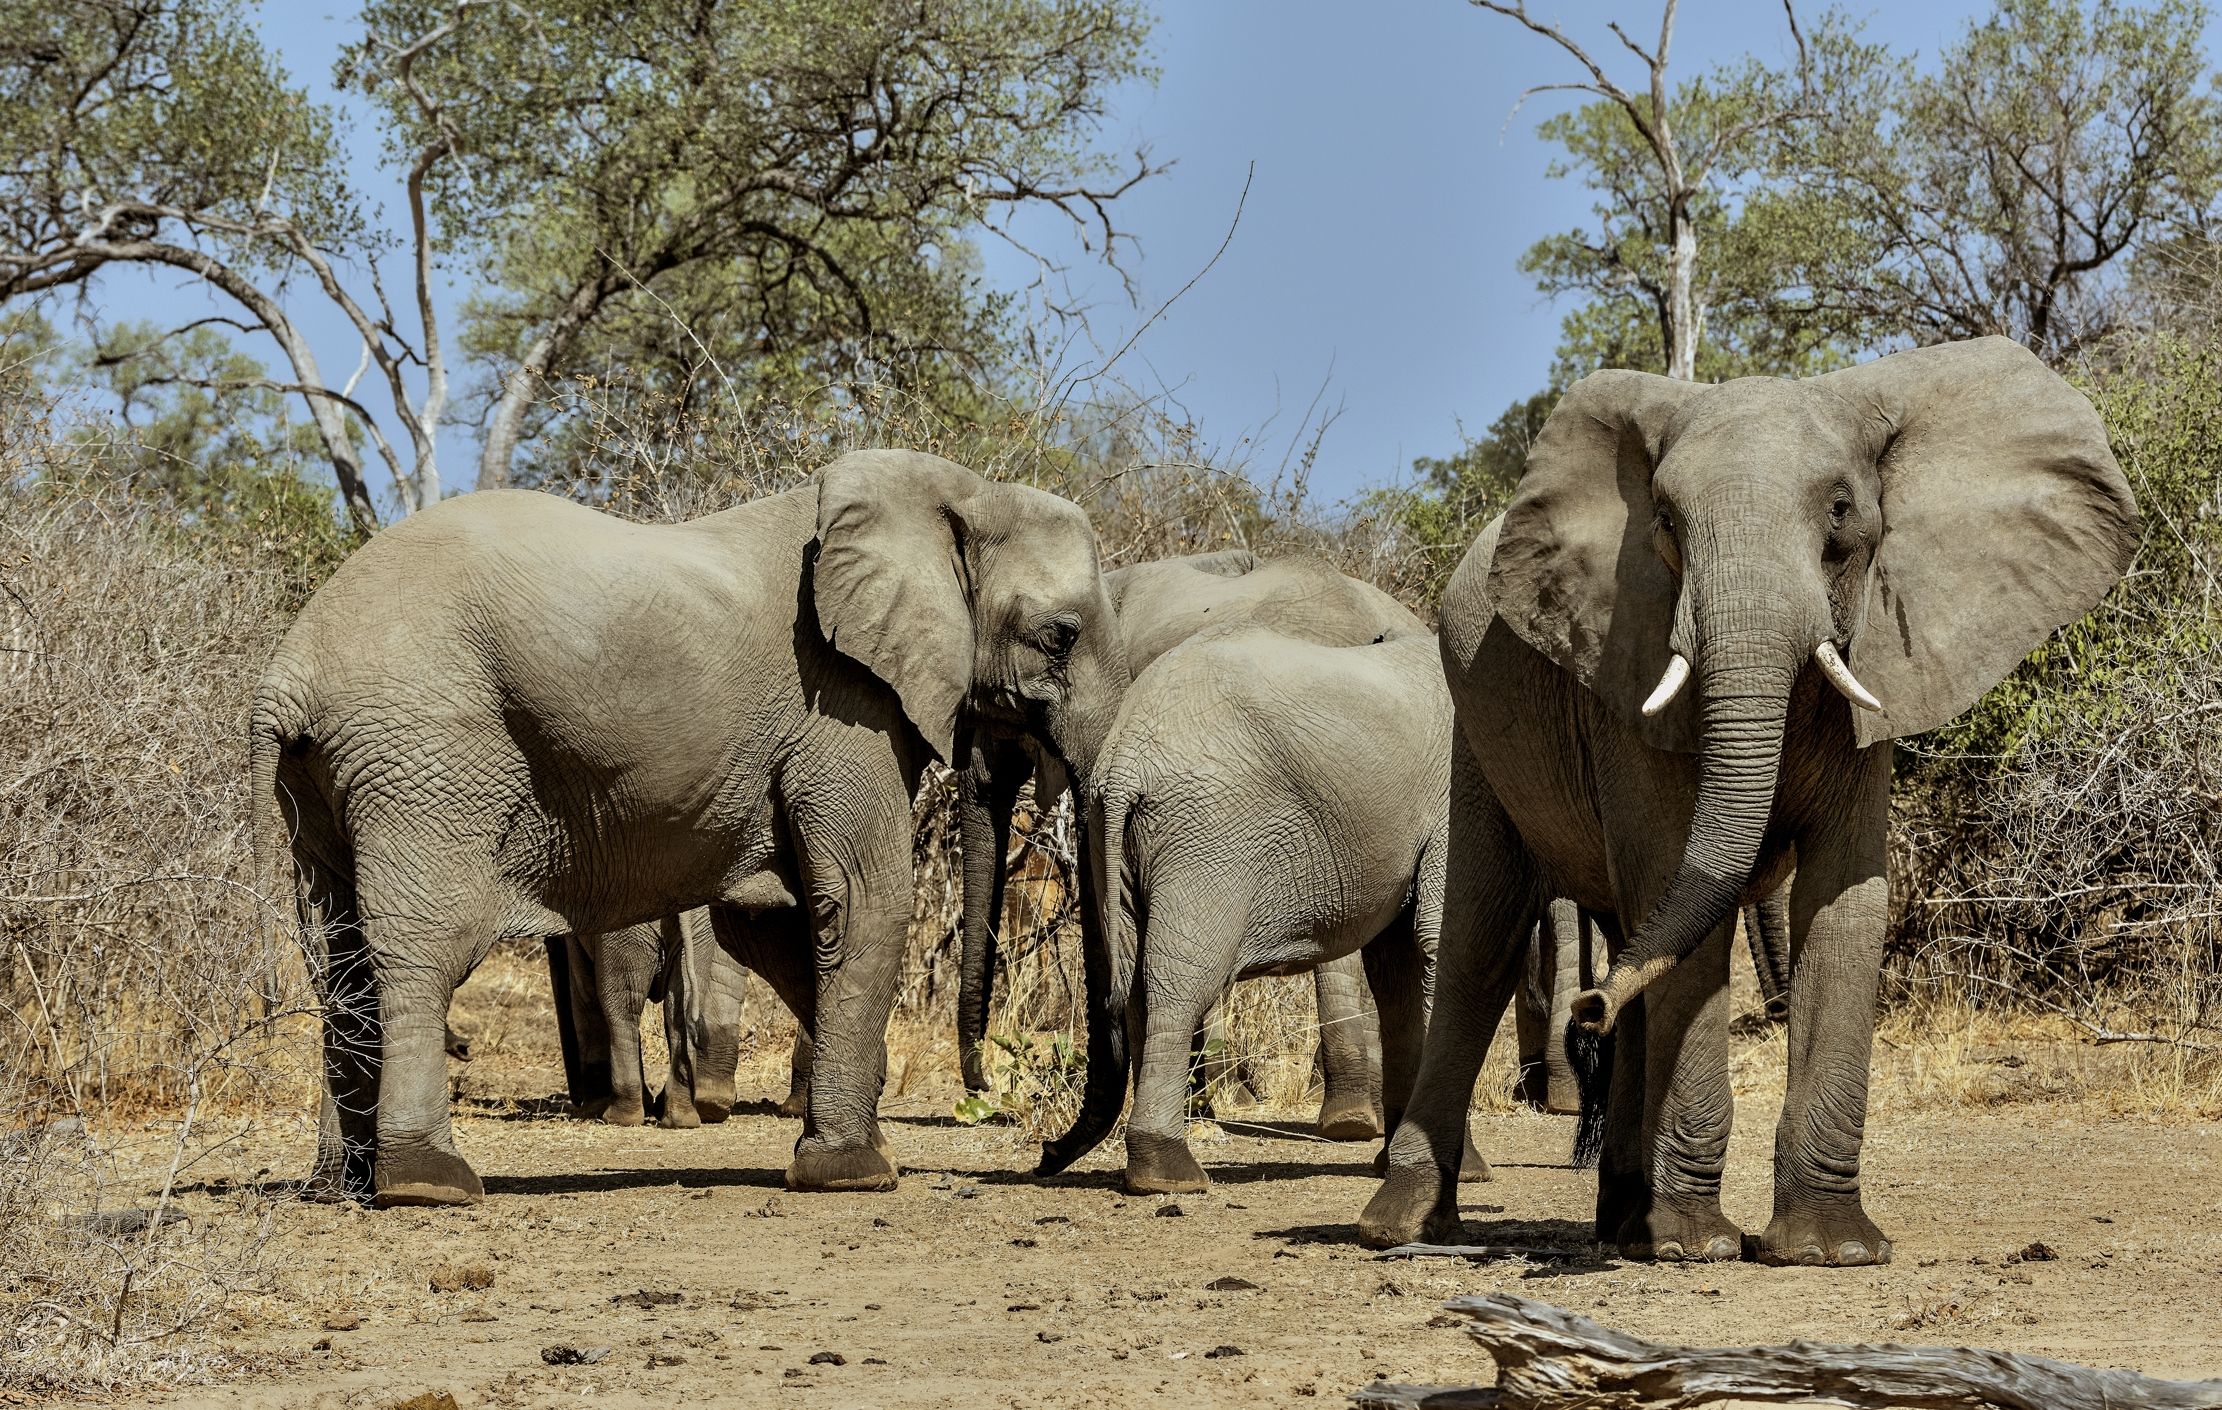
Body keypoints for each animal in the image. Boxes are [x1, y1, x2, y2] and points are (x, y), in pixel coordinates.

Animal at [253, 450, 1130, 1207]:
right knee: (421, 948)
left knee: (336, 955)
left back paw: (343, 1185)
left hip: (327, 782)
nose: (1028, 1140)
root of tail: (289, 672)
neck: (961, 491)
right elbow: (864, 900)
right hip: (424, 751)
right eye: (1059, 637)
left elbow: (779, 922)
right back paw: (429, 1184)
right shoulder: (843, 704)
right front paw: (855, 1174)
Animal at [1037, 624, 1485, 1195]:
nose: (1046, 1156)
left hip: (1111, 833)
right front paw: (1466, 1171)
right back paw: (1171, 1176)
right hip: (1206, 835)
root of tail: (1123, 762)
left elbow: (1398, 967)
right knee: (1180, 980)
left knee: (1137, 983)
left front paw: (1394, 1164)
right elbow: (1437, 948)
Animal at [1358, 338, 2138, 1265]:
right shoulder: (1627, 664)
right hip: (1475, 725)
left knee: (1623, 933)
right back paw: (1404, 1226)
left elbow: (1841, 902)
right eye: (1664, 521)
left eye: (1840, 511)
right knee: (1483, 942)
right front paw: (1700, 1246)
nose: (1588, 1009)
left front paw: (1830, 1250)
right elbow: (1680, 896)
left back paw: (1625, 1226)